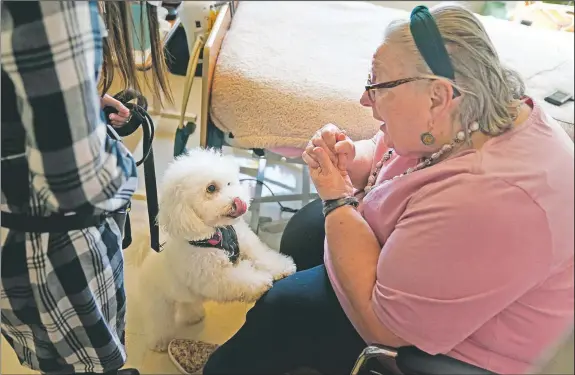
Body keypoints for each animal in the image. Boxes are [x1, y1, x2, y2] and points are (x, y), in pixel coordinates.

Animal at [126, 148, 296, 352]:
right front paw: (261, 281)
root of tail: (146, 257)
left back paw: (194, 316)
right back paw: (159, 342)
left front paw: (282, 268)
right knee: (159, 321)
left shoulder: (247, 244)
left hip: (184, 295)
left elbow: (263, 256)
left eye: (230, 183)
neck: (218, 233)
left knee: (188, 304)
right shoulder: (215, 276)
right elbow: (240, 278)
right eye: (211, 188)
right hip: (158, 301)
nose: (239, 200)